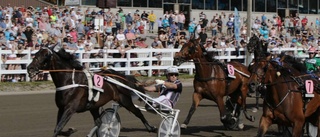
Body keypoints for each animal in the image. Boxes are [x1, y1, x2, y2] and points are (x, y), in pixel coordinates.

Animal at [26, 46, 156, 136]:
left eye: (44, 56)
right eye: (35, 54)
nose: (29, 68)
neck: (69, 80)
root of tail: (120, 76)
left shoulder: (70, 108)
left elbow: (57, 128)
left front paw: (70, 130)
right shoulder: (61, 108)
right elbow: (59, 128)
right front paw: (70, 130)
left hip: (125, 100)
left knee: (138, 112)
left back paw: (151, 128)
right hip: (94, 106)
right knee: (98, 122)